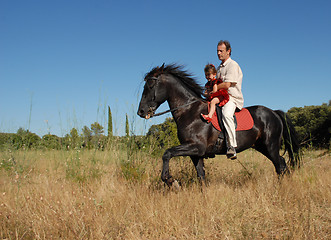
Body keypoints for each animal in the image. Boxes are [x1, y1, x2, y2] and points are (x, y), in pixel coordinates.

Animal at [137, 63, 300, 186]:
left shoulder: (196, 147)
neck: (190, 111)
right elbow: (201, 176)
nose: (141, 111)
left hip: (270, 146)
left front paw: (170, 180)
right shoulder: (196, 153)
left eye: (150, 85)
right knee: (282, 165)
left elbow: (167, 153)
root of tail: (274, 112)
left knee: (280, 166)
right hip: (262, 146)